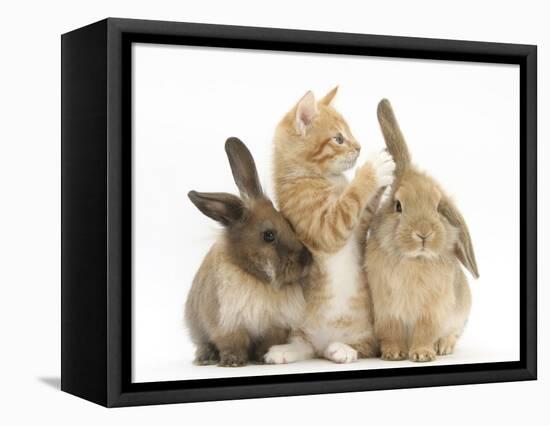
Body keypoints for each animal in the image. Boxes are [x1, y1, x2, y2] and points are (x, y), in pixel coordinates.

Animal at [187, 136, 312, 366]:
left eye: (288, 223)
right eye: (268, 235)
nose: (307, 259)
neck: (257, 279)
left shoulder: (274, 327)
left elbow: (267, 343)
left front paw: (262, 358)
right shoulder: (228, 325)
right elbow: (231, 344)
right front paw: (233, 362)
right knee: (203, 344)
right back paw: (205, 358)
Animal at [266, 87, 394, 362]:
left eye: (350, 134)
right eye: (338, 139)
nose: (359, 147)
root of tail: (323, 343)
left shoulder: (359, 227)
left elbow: (365, 207)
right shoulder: (324, 226)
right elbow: (351, 199)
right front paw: (373, 169)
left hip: (365, 330)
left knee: (364, 346)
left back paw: (340, 348)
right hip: (301, 326)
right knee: (306, 345)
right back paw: (289, 350)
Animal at [368, 100, 480, 362]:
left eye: (438, 207)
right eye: (398, 206)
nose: (424, 233)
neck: (413, 260)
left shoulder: (431, 312)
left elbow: (425, 333)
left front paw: (422, 355)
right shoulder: (387, 310)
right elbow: (392, 332)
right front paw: (393, 354)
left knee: (452, 335)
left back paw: (444, 347)